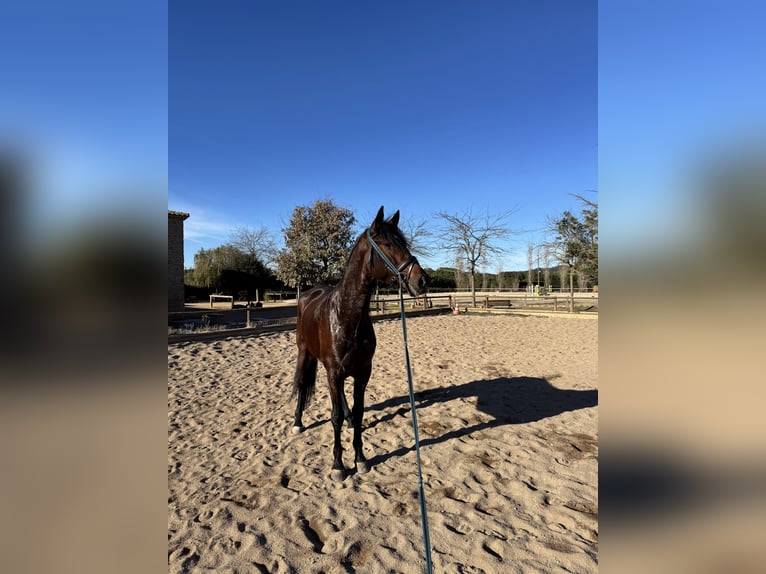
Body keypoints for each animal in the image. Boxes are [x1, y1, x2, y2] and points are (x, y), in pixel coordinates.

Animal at [291, 206, 429, 482]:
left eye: (405, 242)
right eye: (387, 244)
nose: (421, 280)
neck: (346, 315)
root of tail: (307, 294)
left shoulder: (363, 372)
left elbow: (359, 411)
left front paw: (360, 459)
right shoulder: (334, 372)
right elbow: (333, 417)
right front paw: (338, 465)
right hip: (304, 353)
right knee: (301, 382)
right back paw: (298, 423)